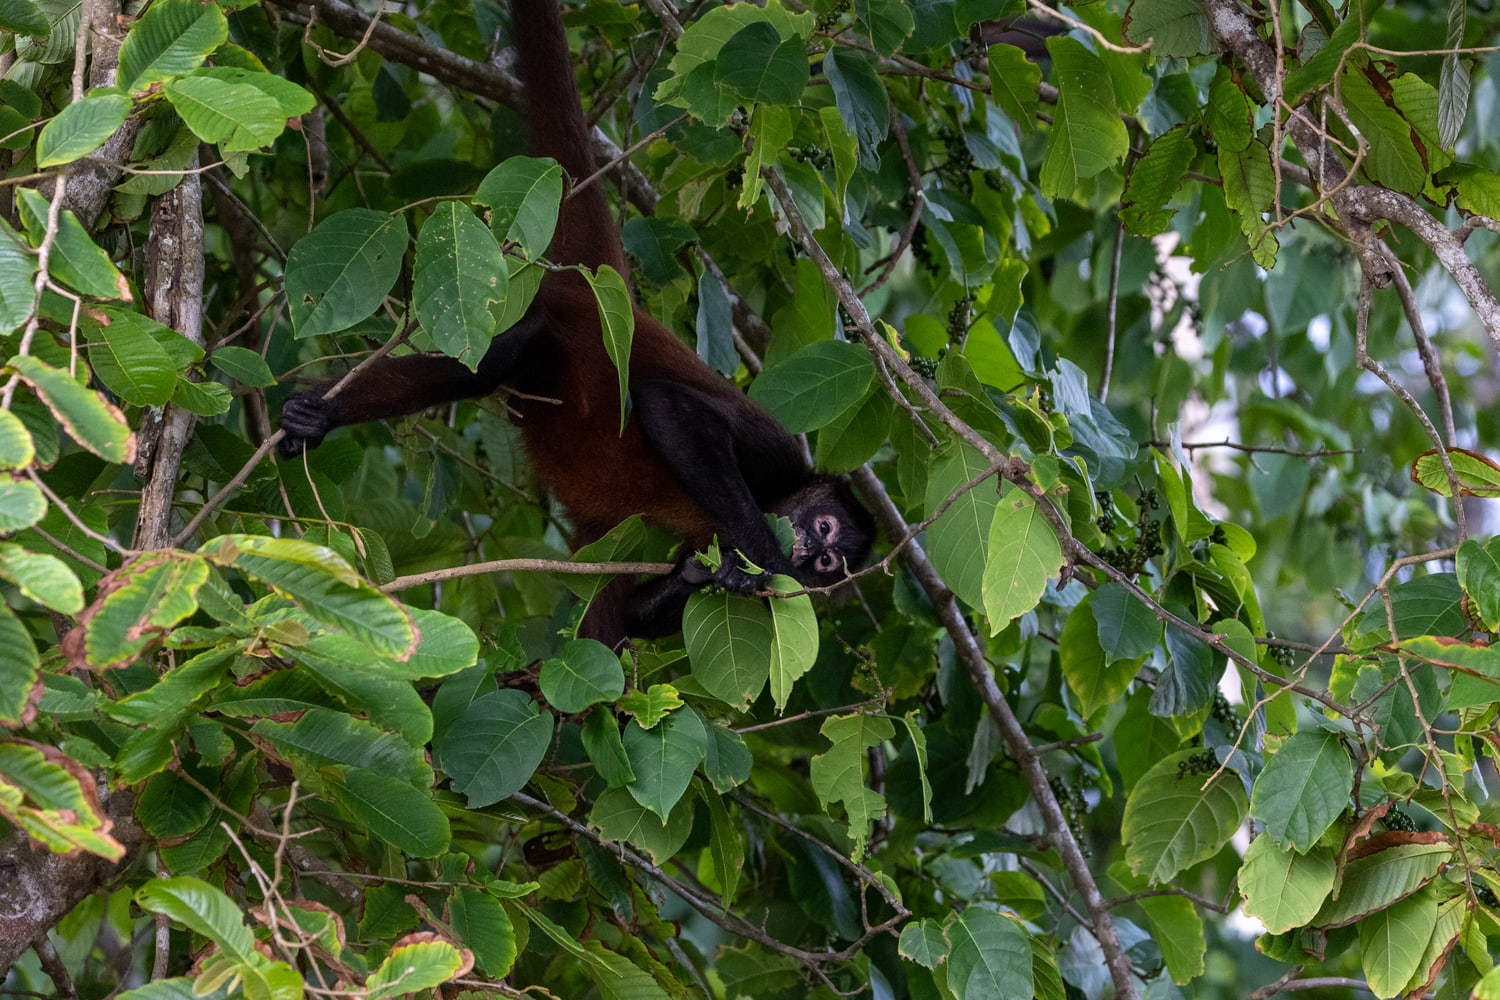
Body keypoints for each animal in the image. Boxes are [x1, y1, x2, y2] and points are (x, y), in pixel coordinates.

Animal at [277, 0, 875, 645]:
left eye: (829, 563)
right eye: (824, 531)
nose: (810, 557)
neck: (786, 495)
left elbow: (646, 608)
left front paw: (706, 576)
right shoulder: (775, 457)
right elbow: (670, 407)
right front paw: (761, 559)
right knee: (502, 357)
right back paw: (324, 414)